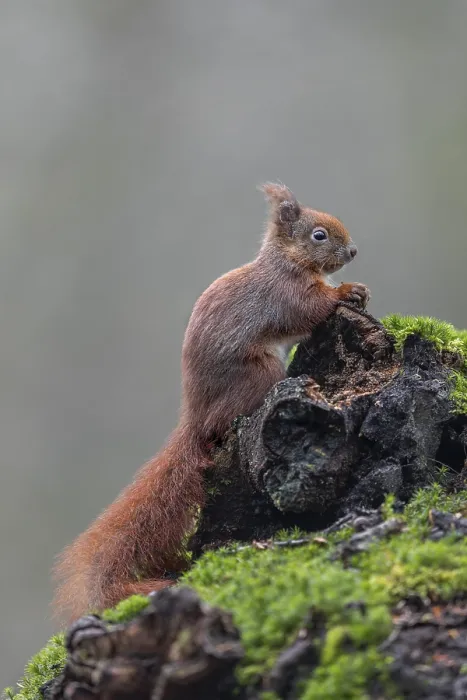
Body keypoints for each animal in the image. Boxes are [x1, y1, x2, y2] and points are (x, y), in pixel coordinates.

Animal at [53, 182, 370, 622]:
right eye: (318, 235)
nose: (353, 251)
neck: (286, 264)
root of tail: (197, 419)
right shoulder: (285, 295)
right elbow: (311, 309)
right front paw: (347, 291)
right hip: (261, 374)